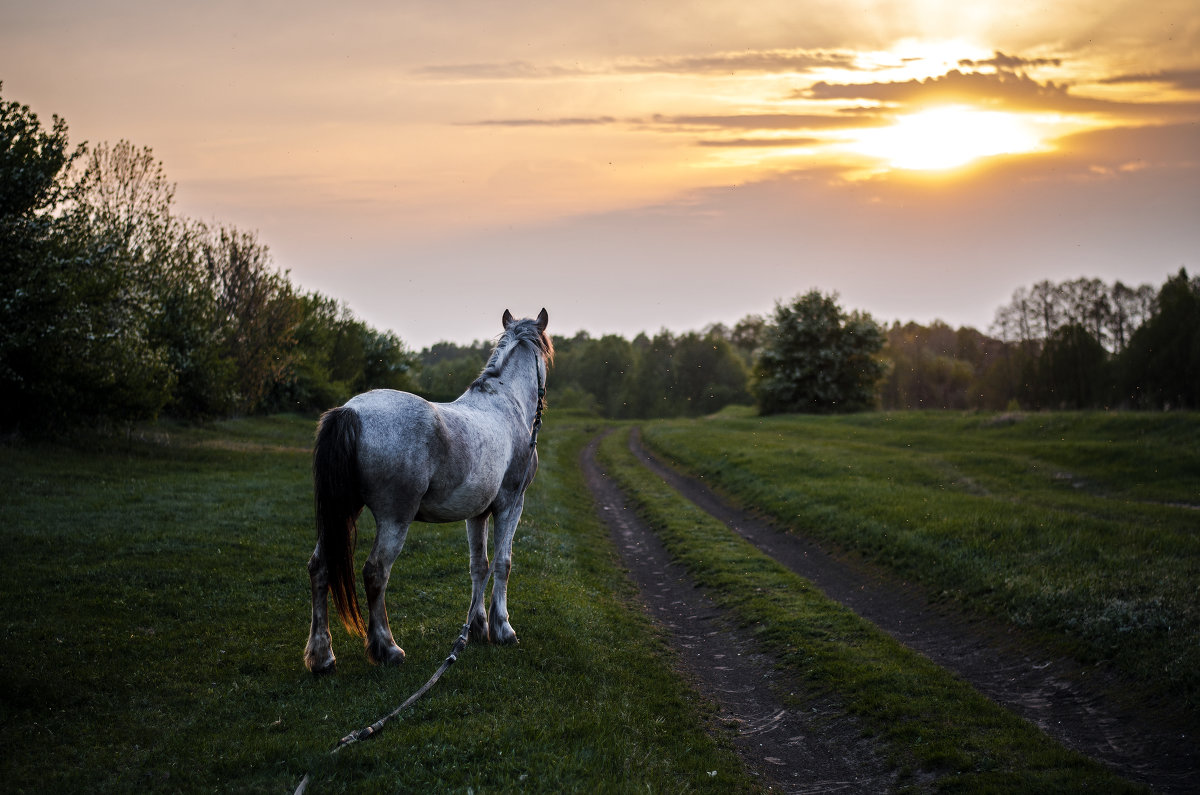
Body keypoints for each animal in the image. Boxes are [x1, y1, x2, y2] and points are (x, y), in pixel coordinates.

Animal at [307, 309, 554, 672]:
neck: (506, 404)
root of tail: (350, 412)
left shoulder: (477, 513)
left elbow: (479, 565)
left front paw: (476, 628)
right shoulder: (511, 504)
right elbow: (503, 563)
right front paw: (502, 629)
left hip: (342, 512)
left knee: (320, 567)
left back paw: (322, 656)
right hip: (395, 518)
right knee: (375, 572)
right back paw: (387, 648)